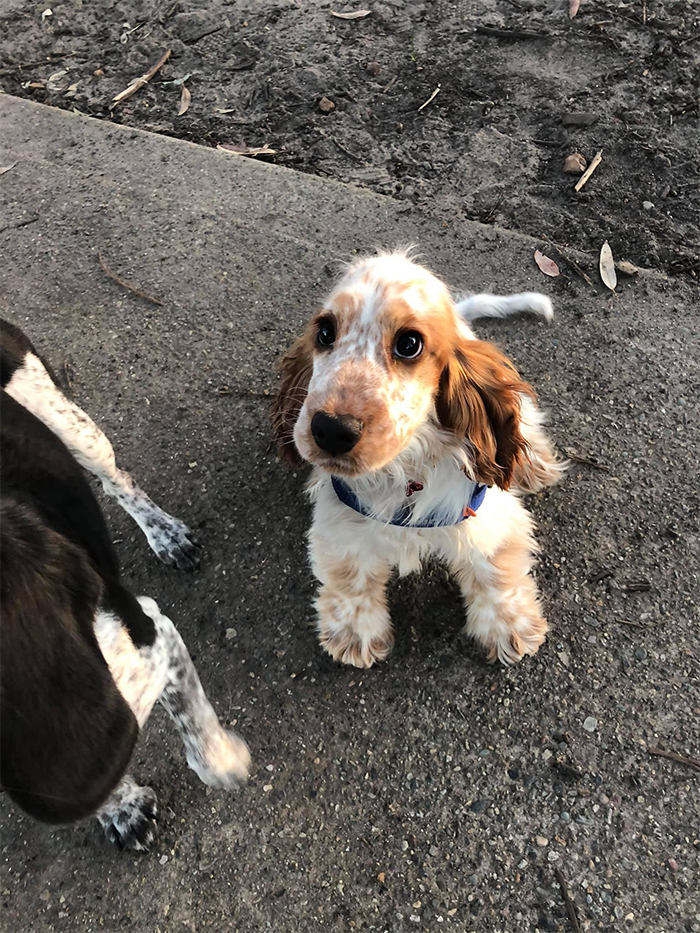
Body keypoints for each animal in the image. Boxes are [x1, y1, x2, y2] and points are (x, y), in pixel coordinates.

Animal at [0, 320, 252, 852]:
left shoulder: (153, 635)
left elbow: (199, 738)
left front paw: (226, 763)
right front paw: (124, 809)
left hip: (70, 424)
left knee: (115, 478)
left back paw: (166, 534)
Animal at [272, 251, 564, 668]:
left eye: (409, 343)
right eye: (325, 332)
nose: (331, 429)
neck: (404, 470)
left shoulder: (484, 517)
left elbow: (494, 572)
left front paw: (508, 628)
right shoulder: (343, 522)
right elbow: (352, 578)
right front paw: (354, 635)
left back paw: (535, 464)